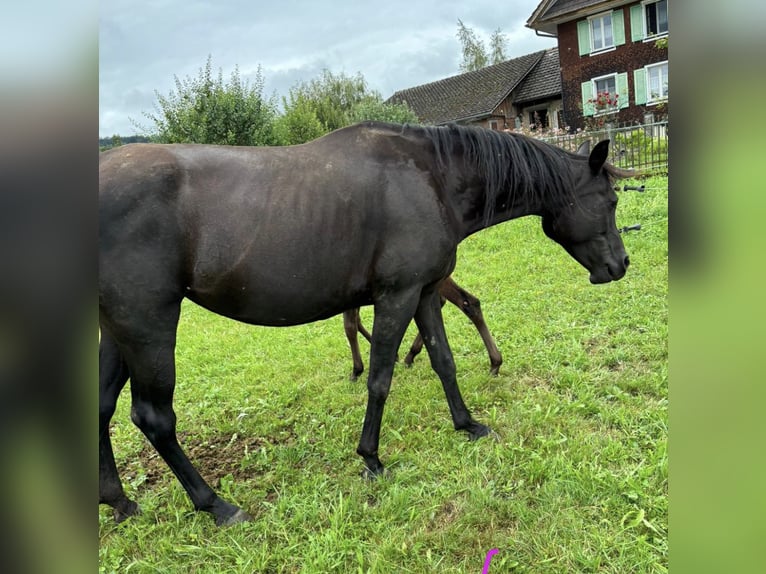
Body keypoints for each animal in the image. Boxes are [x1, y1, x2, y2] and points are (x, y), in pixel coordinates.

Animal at [99, 124, 632, 528]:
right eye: (609, 201)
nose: (621, 265)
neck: (431, 177)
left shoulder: (425, 293)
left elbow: (443, 360)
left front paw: (467, 424)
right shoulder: (397, 297)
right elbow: (380, 377)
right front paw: (371, 458)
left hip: (119, 331)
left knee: (104, 408)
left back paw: (120, 501)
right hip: (148, 325)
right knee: (154, 418)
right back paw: (216, 505)